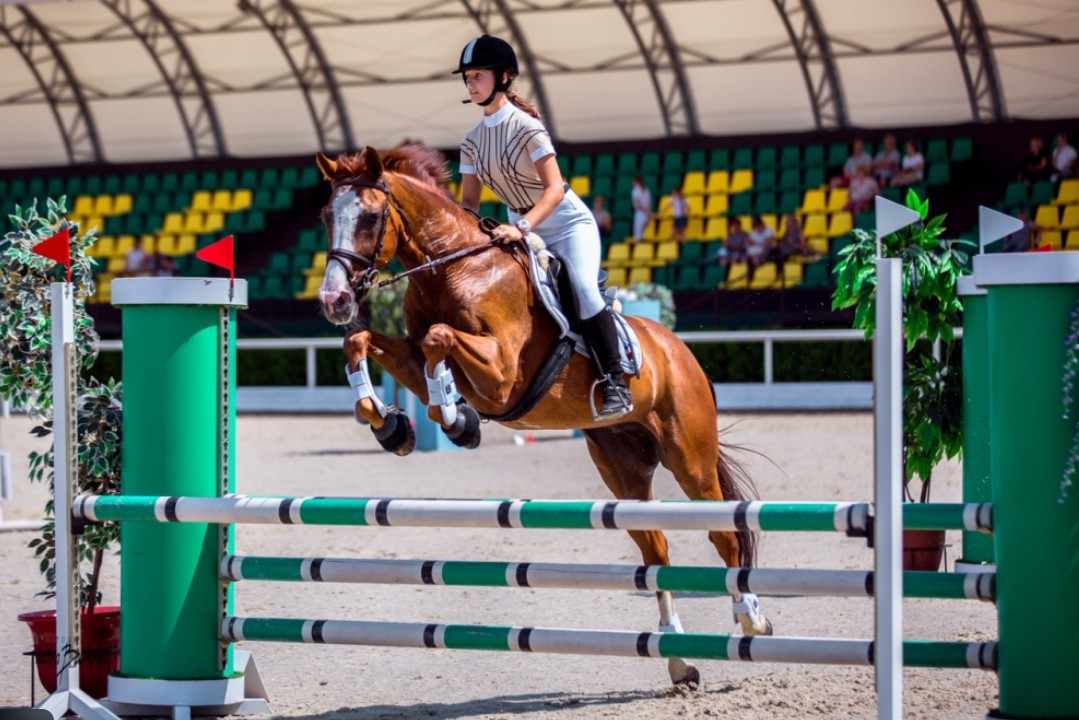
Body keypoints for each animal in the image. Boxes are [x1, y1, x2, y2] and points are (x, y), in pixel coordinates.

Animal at [313, 144, 773, 688]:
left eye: (369, 216)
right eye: (326, 215)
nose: (334, 300)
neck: (451, 271)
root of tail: (678, 350)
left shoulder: (501, 374)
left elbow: (438, 341)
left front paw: (456, 418)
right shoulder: (411, 352)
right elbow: (363, 340)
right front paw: (390, 425)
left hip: (690, 458)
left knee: (723, 532)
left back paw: (751, 619)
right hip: (623, 468)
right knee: (655, 550)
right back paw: (679, 661)